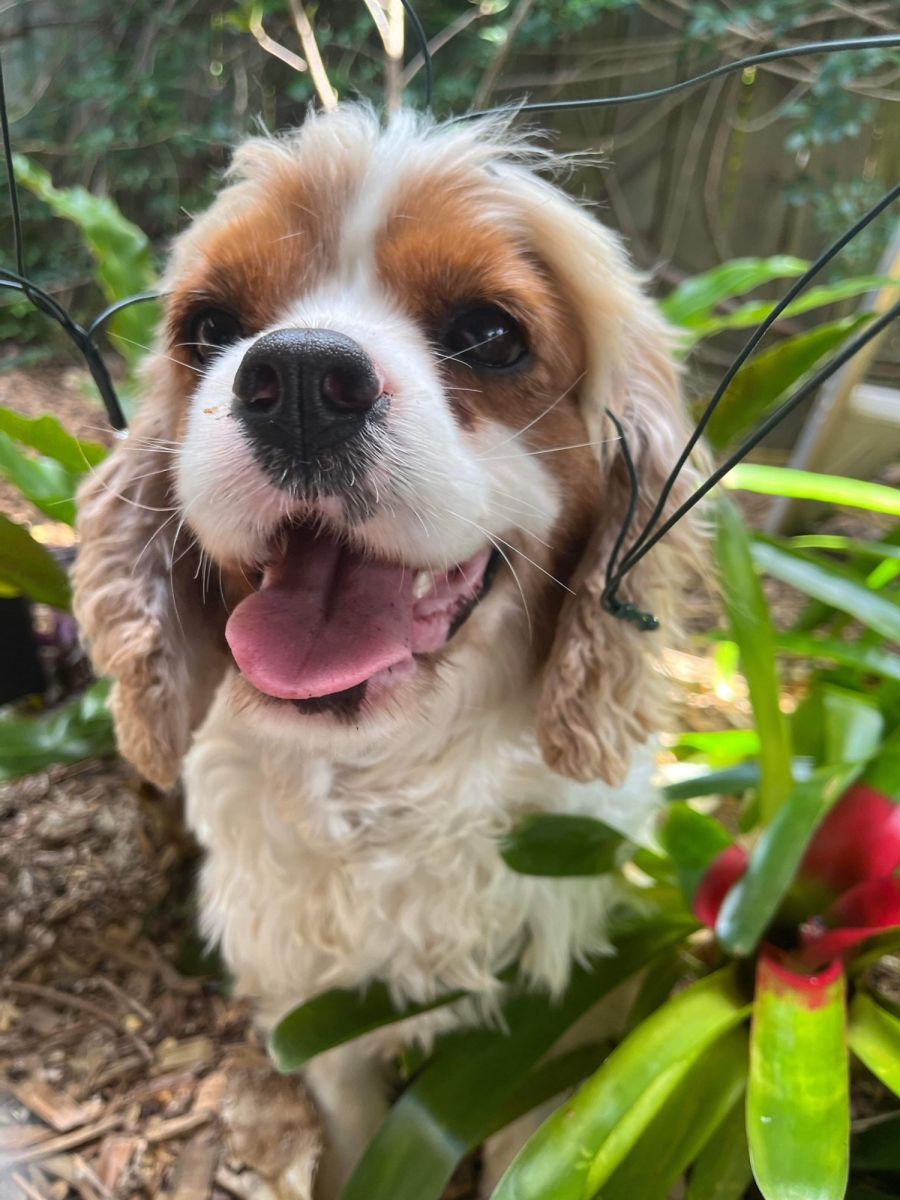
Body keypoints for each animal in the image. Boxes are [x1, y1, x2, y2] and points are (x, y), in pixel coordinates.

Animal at [73, 105, 699, 1197]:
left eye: (490, 334)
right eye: (208, 327)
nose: (296, 379)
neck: (385, 778)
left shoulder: (547, 1003)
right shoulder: (314, 1000)